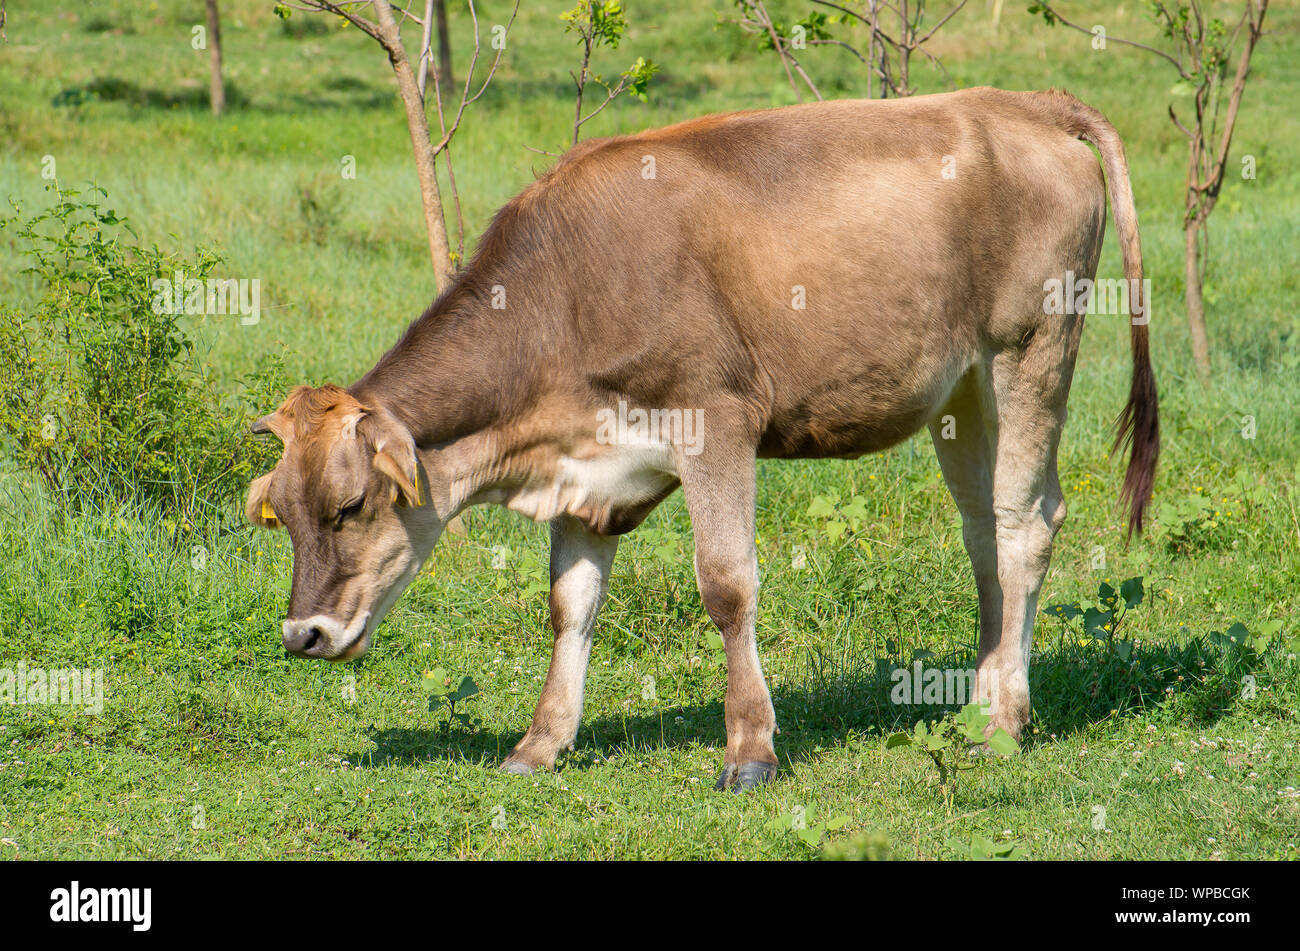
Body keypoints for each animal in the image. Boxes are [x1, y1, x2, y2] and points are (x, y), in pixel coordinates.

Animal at [245, 88, 1159, 789]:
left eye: (350, 504)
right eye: (282, 513)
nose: (301, 636)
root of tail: (1020, 101)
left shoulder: (716, 420)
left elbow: (726, 585)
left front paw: (750, 750)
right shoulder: (588, 467)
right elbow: (569, 603)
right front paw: (540, 743)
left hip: (1030, 349)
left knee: (1025, 524)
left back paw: (1004, 723)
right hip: (962, 389)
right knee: (983, 533)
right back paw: (979, 699)